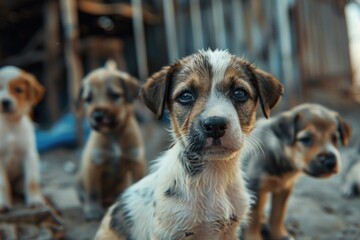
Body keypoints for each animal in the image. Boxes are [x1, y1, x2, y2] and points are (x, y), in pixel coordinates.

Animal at [0, 65, 45, 212]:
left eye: (18, 90)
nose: (5, 102)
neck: (10, 124)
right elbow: (3, 184)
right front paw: (3, 203)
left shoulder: (29, 154)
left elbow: (31, 181)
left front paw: (35, 200)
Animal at [76, 60, 146, 221]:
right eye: (88, 99)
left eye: (114, 95)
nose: (97, 116)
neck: (114, 134)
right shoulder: (93, 164)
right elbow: (93, 192)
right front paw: (93, 211)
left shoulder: (136, 160)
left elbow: (139, 181)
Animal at [242, 103, 352, 240]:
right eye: (305, 139)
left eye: (335, 138)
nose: (330, 161)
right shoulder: (255, 188)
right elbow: (253, 219)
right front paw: (254, 237)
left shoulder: (284, 188)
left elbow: (278, 213)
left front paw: (280, 234)